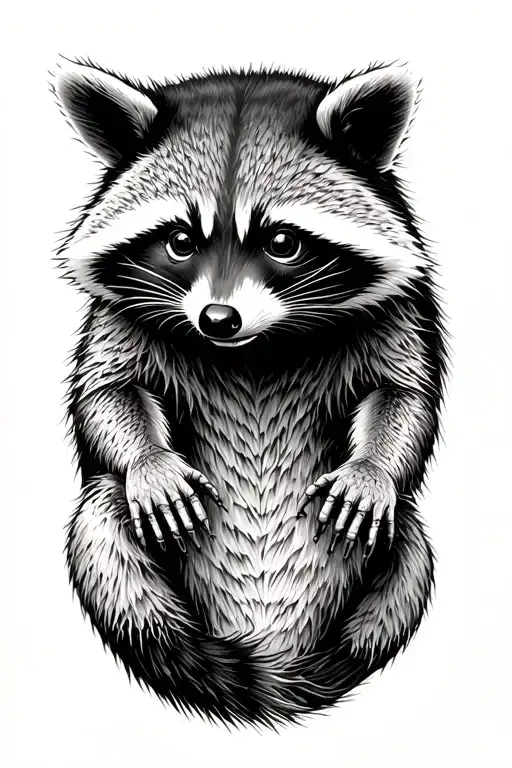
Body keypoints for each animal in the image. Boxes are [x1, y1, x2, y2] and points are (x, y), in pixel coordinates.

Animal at [53, 59, 447, 727]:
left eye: (282, 242)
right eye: (180, 241)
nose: (217, 319)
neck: (254, 348)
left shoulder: (397, 312)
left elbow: (403, 393)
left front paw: (372, 466)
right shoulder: (120, 316)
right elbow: (107, 391)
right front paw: (149, 458)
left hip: (399, 548)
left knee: (406, 547)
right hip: (116, 544)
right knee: (104, 524)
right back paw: (182, 649)